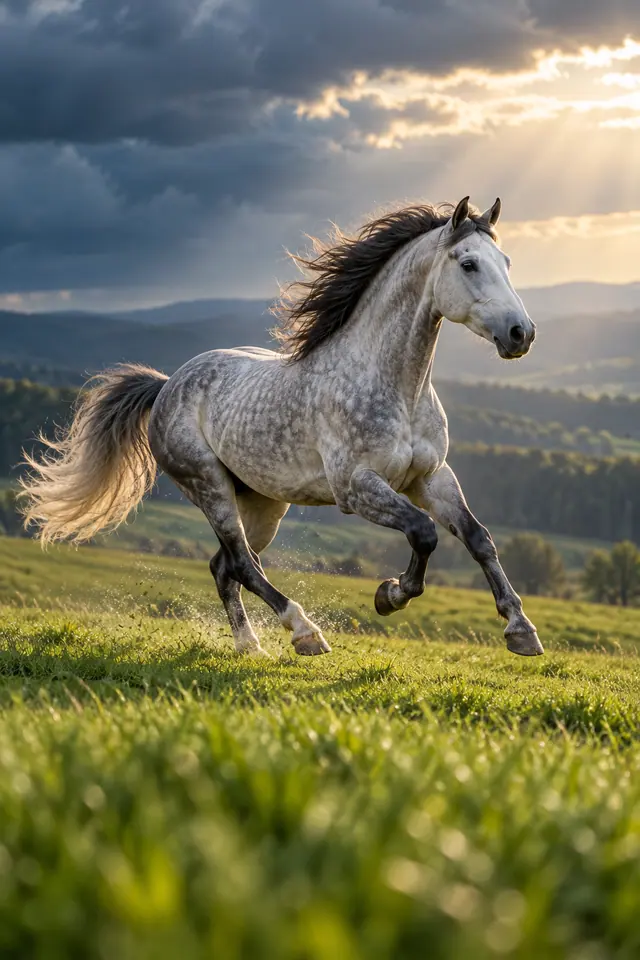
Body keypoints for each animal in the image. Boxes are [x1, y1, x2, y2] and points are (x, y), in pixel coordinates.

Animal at [20, 196, 543, 658]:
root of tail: (168, 385)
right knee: (242, 563)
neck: (396, 387)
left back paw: (250, 646)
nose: (522, 334)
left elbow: (478, 538)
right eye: (469, 264)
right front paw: (389, 595)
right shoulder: (357, 488)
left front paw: (521, 631)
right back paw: (304, 633)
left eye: (507, 262)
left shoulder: (431, 477)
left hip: (263, 503)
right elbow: (424, 532)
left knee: (225, 566)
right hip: (209, 486)